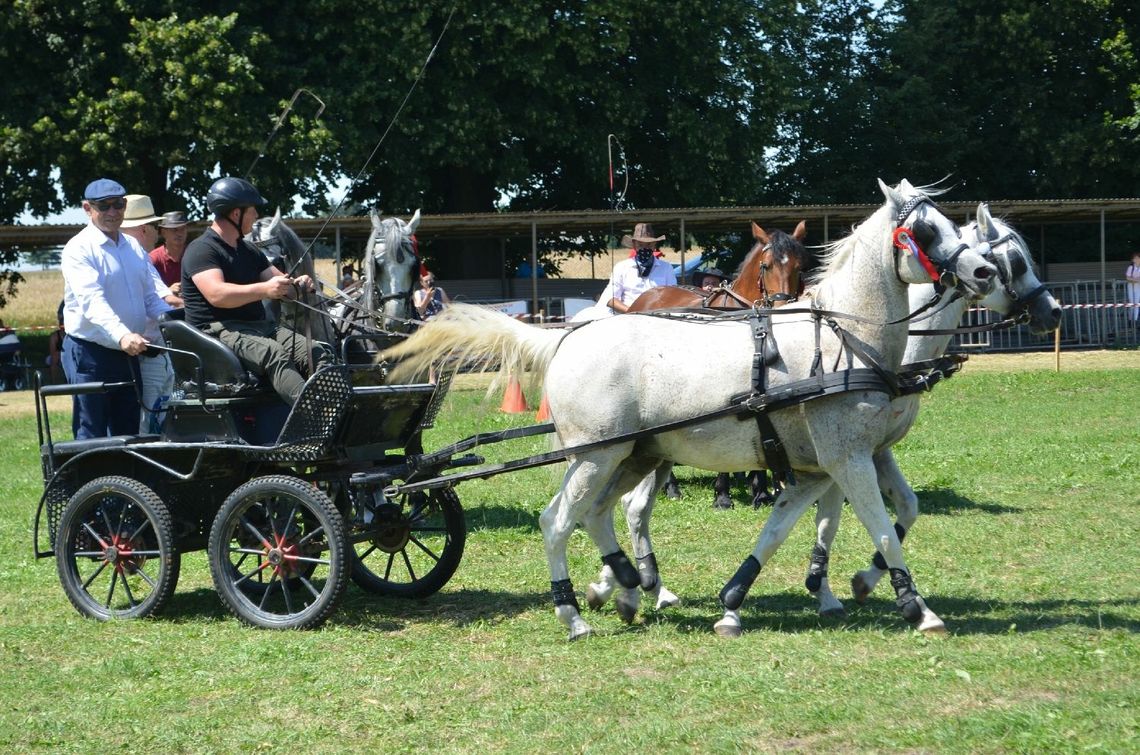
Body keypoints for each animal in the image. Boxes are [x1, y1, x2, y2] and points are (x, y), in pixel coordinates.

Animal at [807, 205, 1062, 615]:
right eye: (1017, 262)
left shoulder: (875, 448)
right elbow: (830, 519)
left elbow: (907, 507)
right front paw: (826, 589)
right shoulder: (847, 445)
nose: (1053, 312)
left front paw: (864, 578)